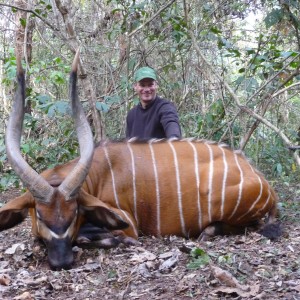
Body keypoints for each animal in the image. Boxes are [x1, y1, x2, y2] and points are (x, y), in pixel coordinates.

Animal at [0, 51, 282, 270]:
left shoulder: (127, 223)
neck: (95, 177)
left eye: (75, 213)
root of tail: (264, 183)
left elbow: (94, 235)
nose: (62, 262)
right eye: (40, 216)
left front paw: (115, 240)